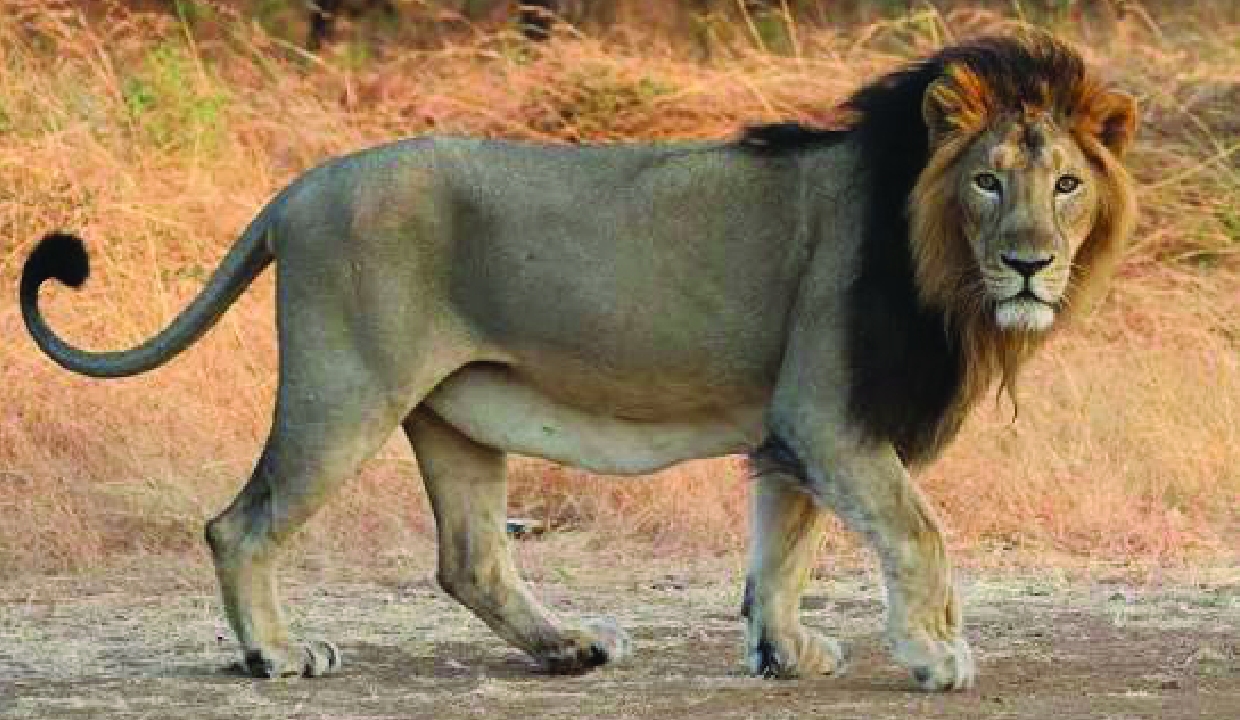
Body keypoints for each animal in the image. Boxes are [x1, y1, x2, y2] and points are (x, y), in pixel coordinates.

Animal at [20, 32, 1136, 691]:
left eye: (1067, 184)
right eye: (989, 182)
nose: (1030, 264)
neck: (938, 256)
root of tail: (299, 187)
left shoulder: (799, 424)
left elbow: (785, 542)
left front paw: (783, 651)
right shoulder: (830, 411)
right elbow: (917, 533)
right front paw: (938, 653)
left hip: (456, 413)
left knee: (469, 557)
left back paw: (568, 647)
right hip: (343, 391)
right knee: (239, 523)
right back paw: (277, 654)